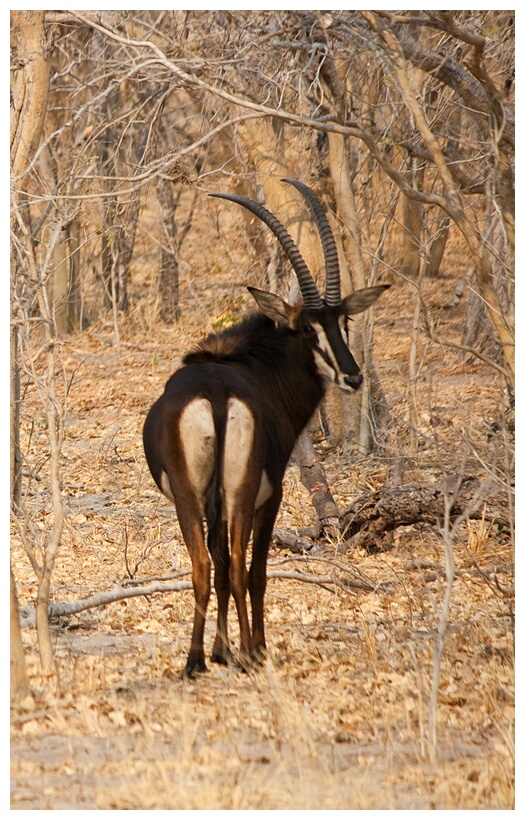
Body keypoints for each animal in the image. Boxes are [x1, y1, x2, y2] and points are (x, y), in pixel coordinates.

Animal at [141, 178, 386, 672]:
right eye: (307, 328)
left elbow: (218, 565)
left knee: (206, 563)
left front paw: (220, 649)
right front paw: (252, 646)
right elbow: (256, 572)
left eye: (343, 320)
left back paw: (196, 661)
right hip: (242, 487)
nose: (353, 377)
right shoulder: (270, 496)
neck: (255, 366)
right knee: (238, 563)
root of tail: (216, 393)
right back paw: (249, 654)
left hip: (192, 493)